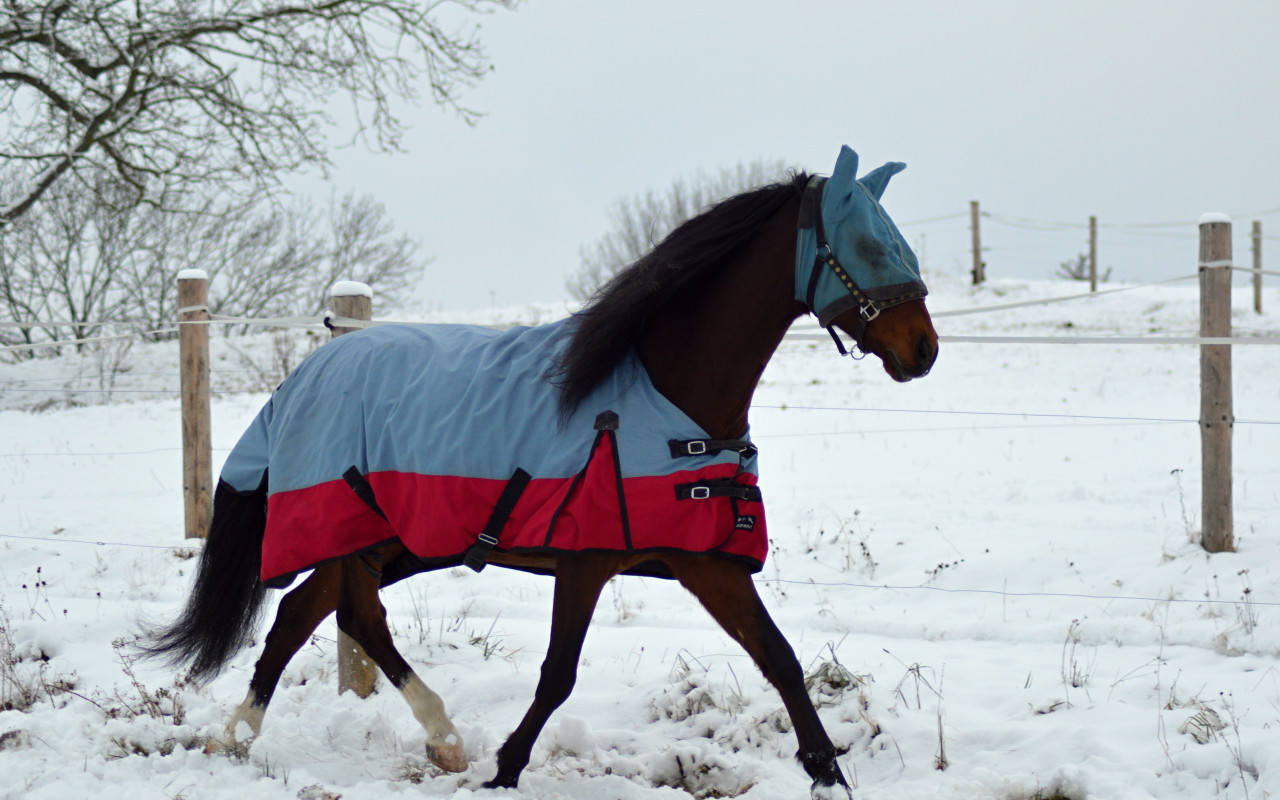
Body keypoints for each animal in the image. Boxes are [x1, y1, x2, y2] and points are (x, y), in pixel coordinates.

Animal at [142, 146, 942, 793]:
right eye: (868, 243)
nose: (923, 350)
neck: (662, 398)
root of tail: (303, 376)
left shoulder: (704, 560)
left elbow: (779, 658)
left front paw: (828, 774)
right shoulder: (587, 560)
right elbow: (558, 674)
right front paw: (504, 769)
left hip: (381, 541)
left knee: (306, 614)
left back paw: (242, 736)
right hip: (355, 527)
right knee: (351, 616)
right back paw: (440, 738)